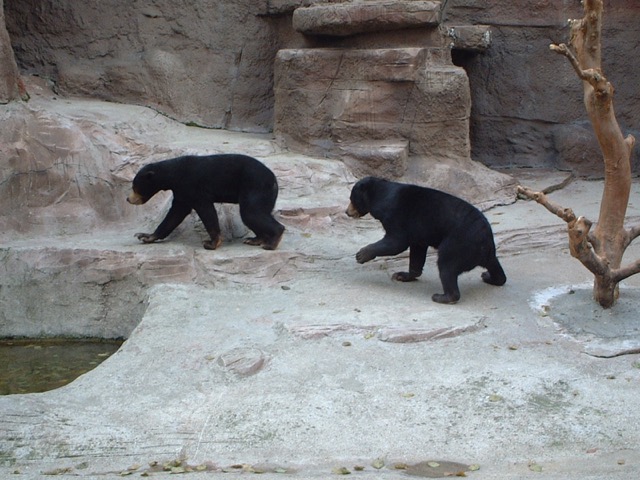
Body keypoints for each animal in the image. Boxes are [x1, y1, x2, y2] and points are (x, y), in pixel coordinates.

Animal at [126, 154, 284, 251]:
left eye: (134, 187)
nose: (128, 199)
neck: (174, 174)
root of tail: (274, 180)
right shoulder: (182, 192)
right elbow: (176, 213)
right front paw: (145, 236)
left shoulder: (193, 186)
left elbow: (205, 210)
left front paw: (211, 243)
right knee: (254, 215)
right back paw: (255, 239)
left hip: (255, 187)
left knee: (251, 213)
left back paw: (271, 242)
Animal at [344, 176, 504, 304]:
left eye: (351, 199)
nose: (347, 212)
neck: (381, 196)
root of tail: (485, 239)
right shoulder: (418, 232)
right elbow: (417, 251)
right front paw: (402, 275)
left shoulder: (397, 216)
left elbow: (396, 242)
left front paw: (361, 254)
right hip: (484, 253)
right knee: (494, 266)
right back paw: (490, 277)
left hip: (458, 244)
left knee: (447, 265)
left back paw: (442, 297)